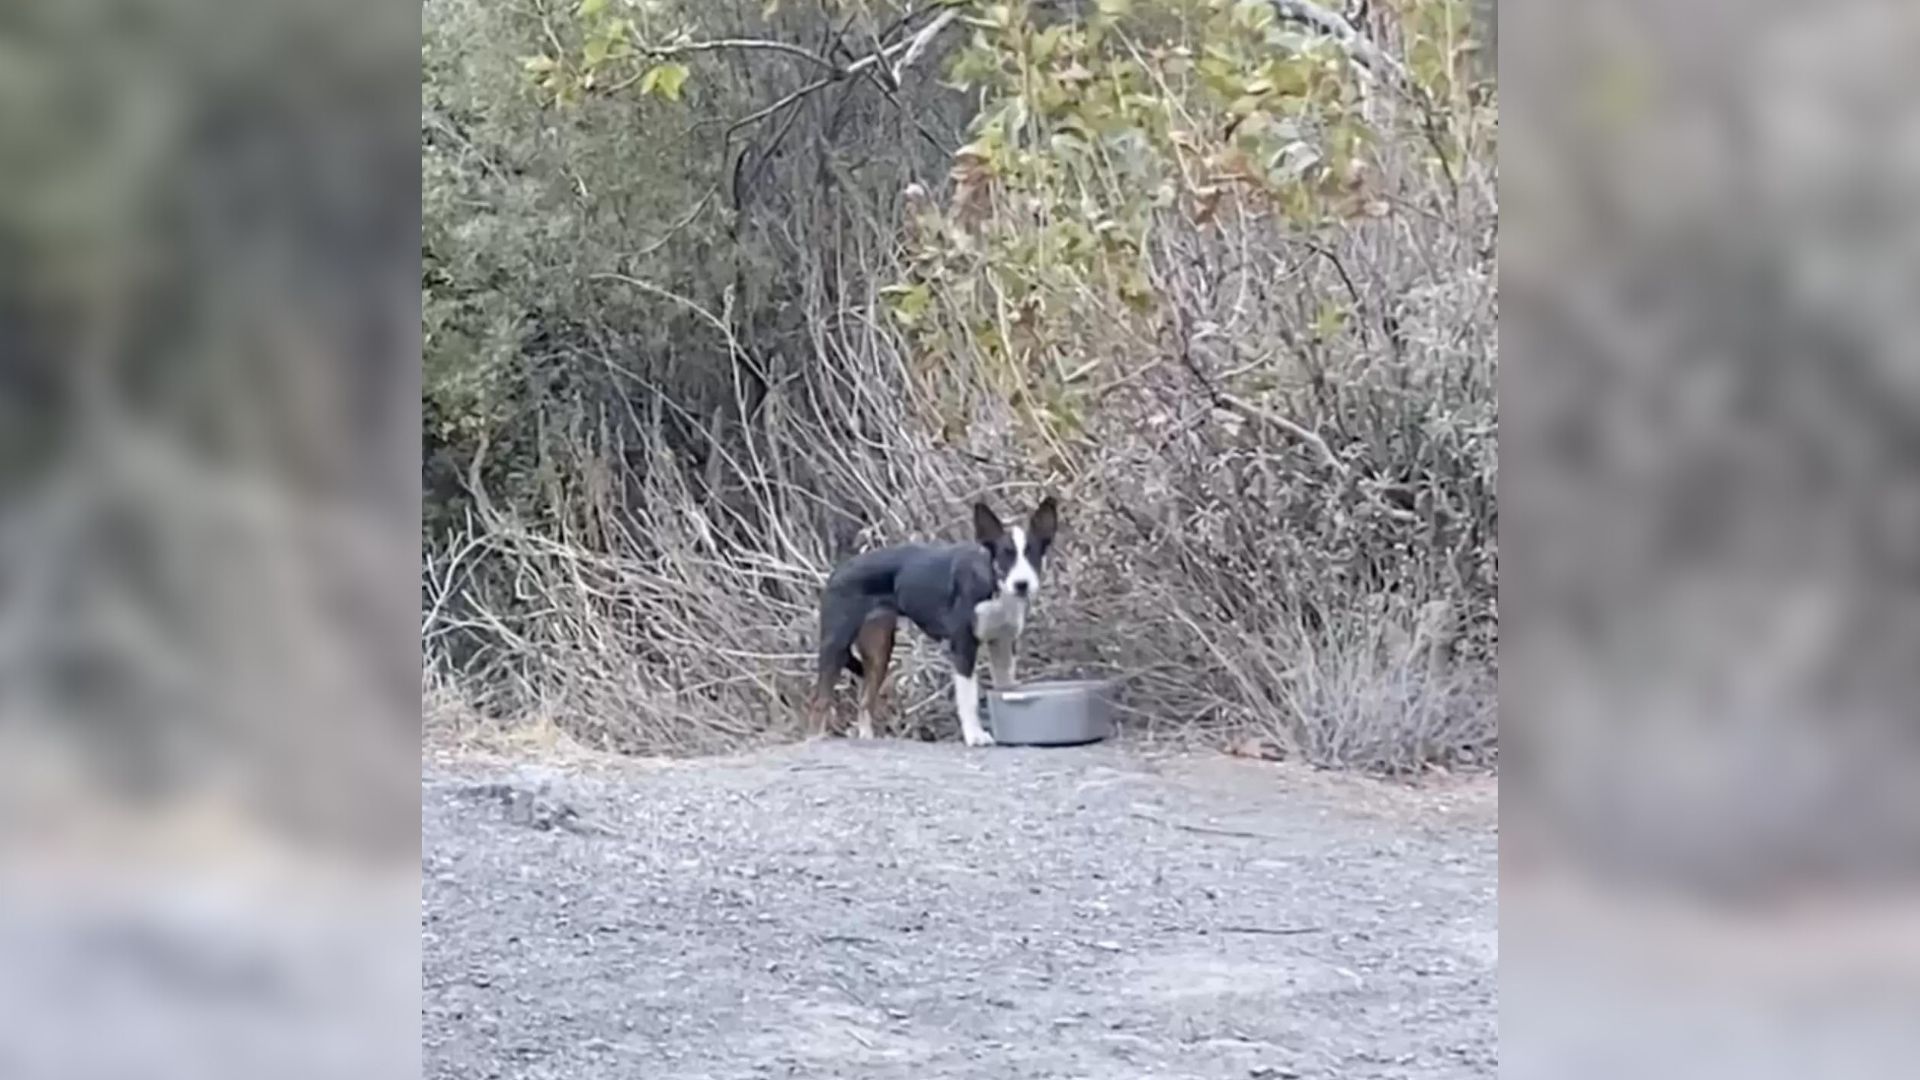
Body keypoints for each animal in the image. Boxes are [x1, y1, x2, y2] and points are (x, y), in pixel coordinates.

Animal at [806, 495, 1059, 737]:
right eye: (1005, 556)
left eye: (1033, 555)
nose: (1022, 584)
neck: (995, 588)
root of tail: (837, 570)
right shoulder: (963, 646)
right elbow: (968, 700)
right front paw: (975, 736)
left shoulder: (1003, 644)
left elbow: (1006, 688)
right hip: (836, 644)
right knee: (820, 702)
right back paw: (816, 740)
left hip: (879, 651)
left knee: (865, 701)